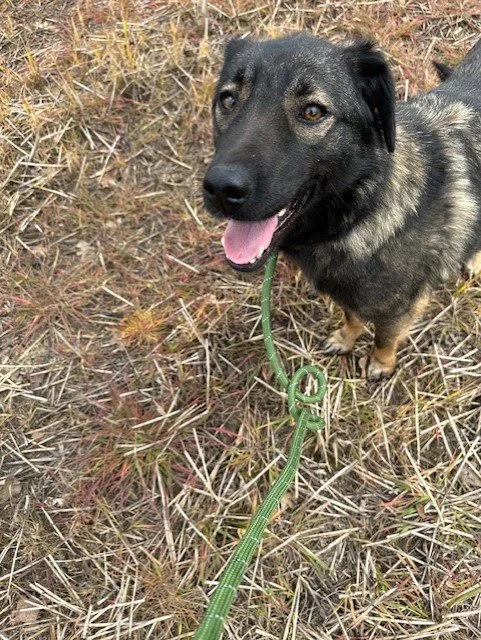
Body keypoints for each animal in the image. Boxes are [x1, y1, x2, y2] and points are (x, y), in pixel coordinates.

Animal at [203, 35, 481, 380]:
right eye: (228, 100)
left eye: (312, 111)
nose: (221, 189)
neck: (363, 207)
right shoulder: (349, 296)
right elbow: (352, 317)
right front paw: (345, 339)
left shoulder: (401, 308)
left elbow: (385, 338)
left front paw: (380, 364)